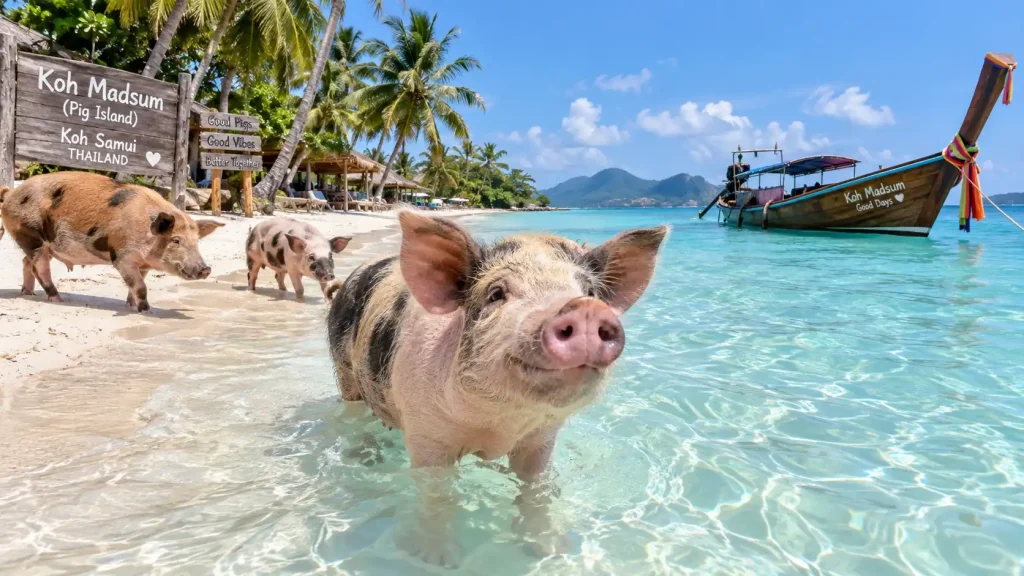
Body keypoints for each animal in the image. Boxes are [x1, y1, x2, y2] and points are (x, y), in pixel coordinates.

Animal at [0, 172, 223, 312]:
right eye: (176, 240)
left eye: (196, 241)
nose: (205, 269)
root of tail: (11, 194)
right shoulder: (122, 256)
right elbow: (140, 286)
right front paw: (146, 311)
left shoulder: (142, 264)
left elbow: (136, 284)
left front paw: (131, 305)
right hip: (29, 233)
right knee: (40, 267)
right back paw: (57, 298)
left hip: (36, 242)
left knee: (27, 262)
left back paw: (28, 293)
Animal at [326, 210, 668, 565]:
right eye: (496, 293)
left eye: (590, 291)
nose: (584, 308)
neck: (498, 421)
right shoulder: (426, 435)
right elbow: (437, 493)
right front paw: (438, 559)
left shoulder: (542, 437)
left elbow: (535, 487)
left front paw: (549, 550)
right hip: (344, 371)